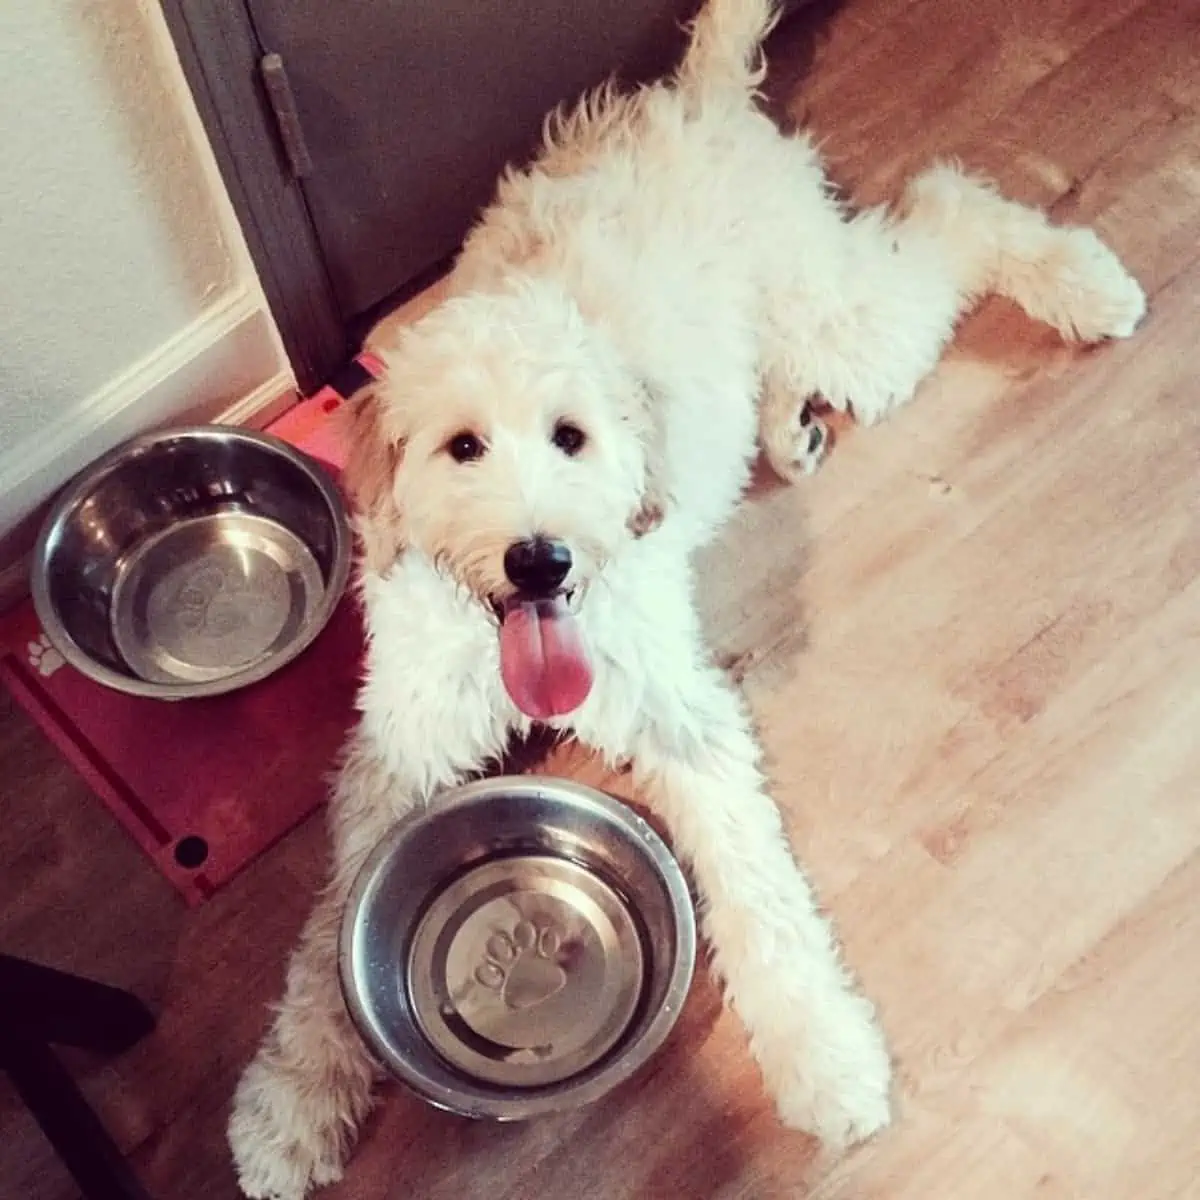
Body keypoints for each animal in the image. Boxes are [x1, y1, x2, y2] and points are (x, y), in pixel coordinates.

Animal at [231, 2, 1142, 1190]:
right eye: (462, 446)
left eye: (572, 437)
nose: (541, 560)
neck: (513, 642)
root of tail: (696, 99)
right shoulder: (400, 748)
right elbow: (326, 926)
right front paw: (291, 1101)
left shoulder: (681, 719)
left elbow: (759, 891)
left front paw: (823, 1056)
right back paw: (789, 428)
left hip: (838, 318)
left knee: (945, 210)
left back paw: (1082, 283)